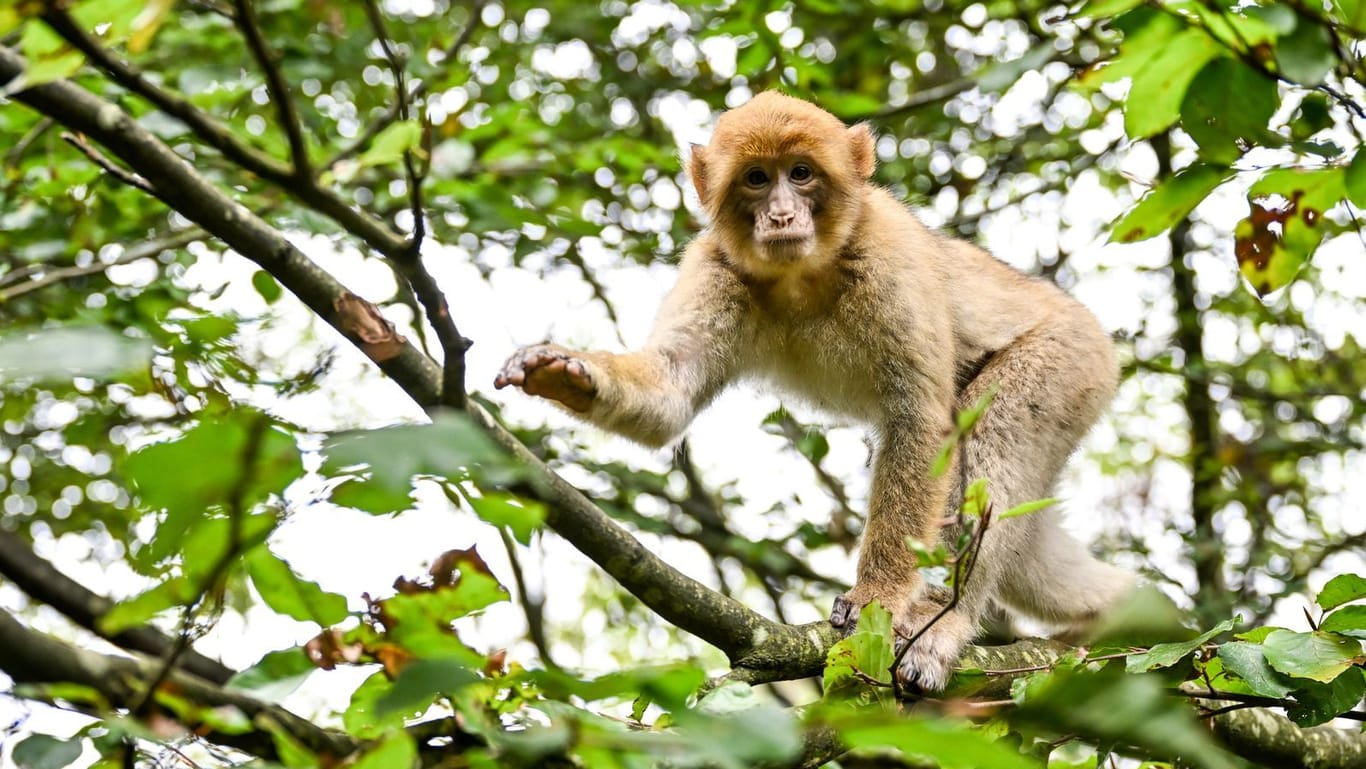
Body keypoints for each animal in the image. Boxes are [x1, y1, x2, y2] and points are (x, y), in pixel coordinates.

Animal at [491, 91, 1131, 691]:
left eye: (800, 173)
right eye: (756, 178)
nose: (780, 215)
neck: (803, 272)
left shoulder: (889, 258)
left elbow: (921, 423)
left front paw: (879, 595)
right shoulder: (715, 265)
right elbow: (670, 393)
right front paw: (565, 370)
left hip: (1068, 361)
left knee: (993, 442)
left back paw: (944, 622)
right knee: (1024, 545)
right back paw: (1124, 610)